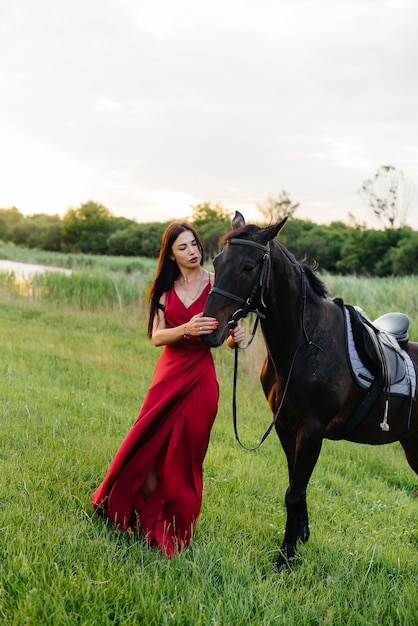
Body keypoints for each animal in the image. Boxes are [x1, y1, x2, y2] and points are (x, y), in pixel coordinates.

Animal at [202, 210, 418, 564]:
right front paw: (300, 537)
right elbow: (295, 484)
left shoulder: (313, 429)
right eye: (217, 262)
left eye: (248, 266)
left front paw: (286, 557)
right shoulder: (285, 424)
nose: (210, 329)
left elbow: (295, 491)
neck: (307, 344)